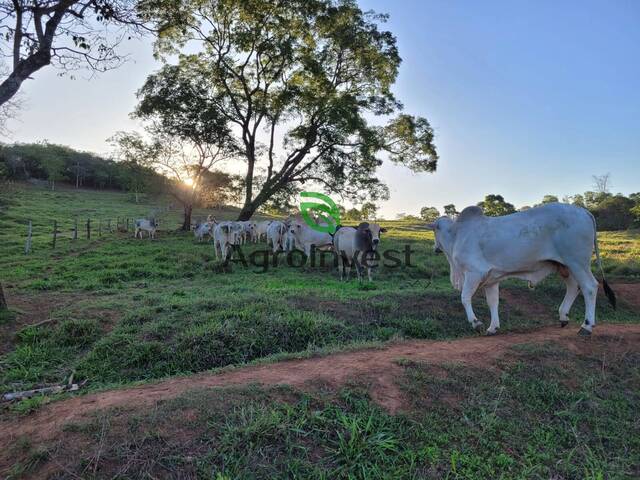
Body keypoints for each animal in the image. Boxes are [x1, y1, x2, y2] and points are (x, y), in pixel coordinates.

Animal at [428, 204, 616, 336]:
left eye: (435, 231)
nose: (435, 248)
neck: (456, 235)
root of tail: (584, 212)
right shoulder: (491, 280)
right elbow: (493, 302)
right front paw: (492, 327)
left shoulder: (474, 273)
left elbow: (465, 298)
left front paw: (476, 323)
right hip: (564, 266)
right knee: (573, 287)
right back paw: (563, 316)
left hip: (577, 263)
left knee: (589, 287)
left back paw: (586, 326)